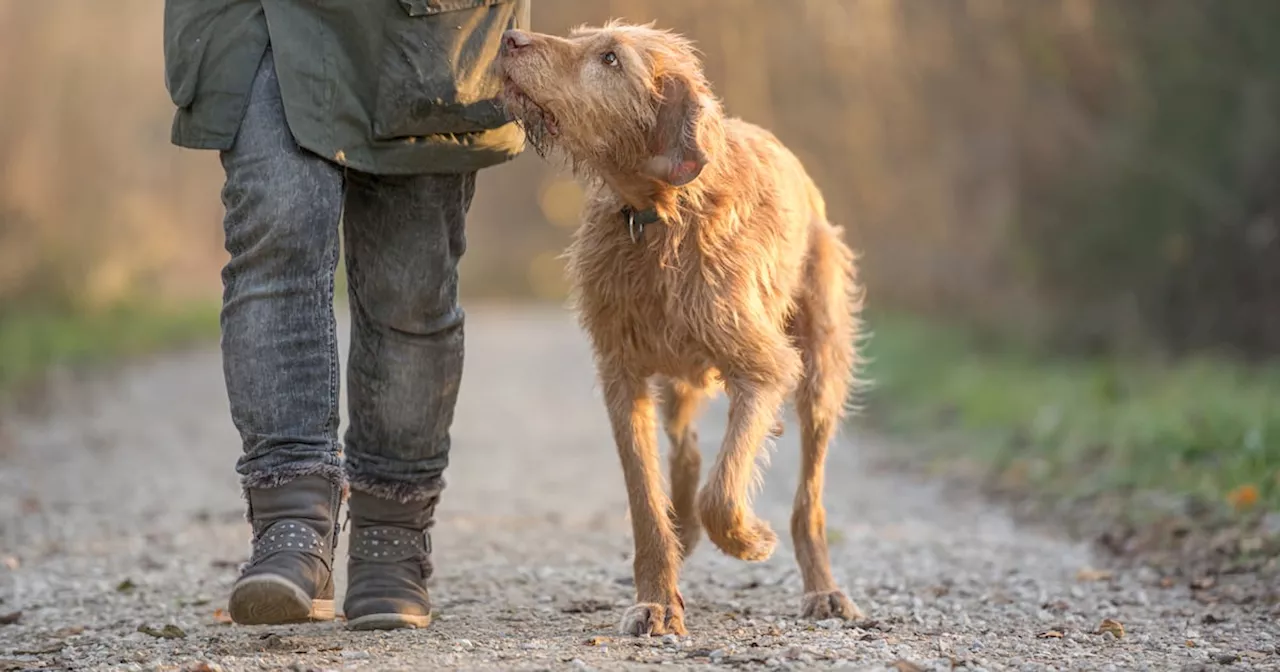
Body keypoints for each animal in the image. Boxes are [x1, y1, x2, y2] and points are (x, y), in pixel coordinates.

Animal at [494, 17, 865, 634]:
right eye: (583, 37)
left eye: (611, 59)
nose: (508, 38)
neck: (659, 216)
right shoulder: (622, 375)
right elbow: (646, 501)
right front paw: (657, 600)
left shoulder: (762, 368)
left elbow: (724, 487)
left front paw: (747, 539)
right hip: (680, 376)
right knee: (686, 448)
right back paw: (684, 529)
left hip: (820, 371)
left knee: (808, 500)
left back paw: (824, 591)